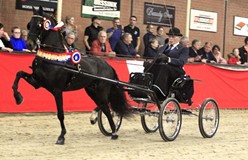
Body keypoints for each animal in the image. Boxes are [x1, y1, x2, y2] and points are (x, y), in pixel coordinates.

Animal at [12, 6, 130, 144]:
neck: (53, 57)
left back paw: (113, 131)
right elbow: (19, 74)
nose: (29, 44)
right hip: (91, 90)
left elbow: (60, 114)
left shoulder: (57, 90)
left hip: (101, 90)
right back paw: (104, 125)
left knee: (106, 106)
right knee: (104, 107)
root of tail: (108, 65)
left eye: (39, 25)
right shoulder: (37, 82)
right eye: (29, 24)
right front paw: (18, 98)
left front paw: (61, 136)